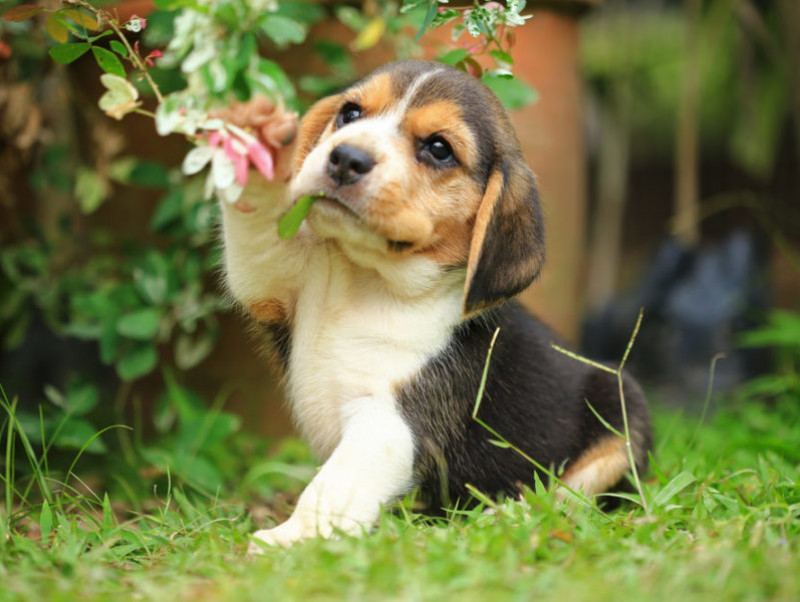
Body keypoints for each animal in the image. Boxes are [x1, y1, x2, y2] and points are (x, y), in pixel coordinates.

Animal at [217, 61, 648, 548]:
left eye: (439, 149)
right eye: (350, 113)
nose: (347, 158)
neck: (371, 281)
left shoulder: (391, 423)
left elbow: (334, 484)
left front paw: (291, 540)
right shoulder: (278, 281)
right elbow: (261, 239)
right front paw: (257, 141)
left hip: (623, 416)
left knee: (570, 498)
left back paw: (506, 517)